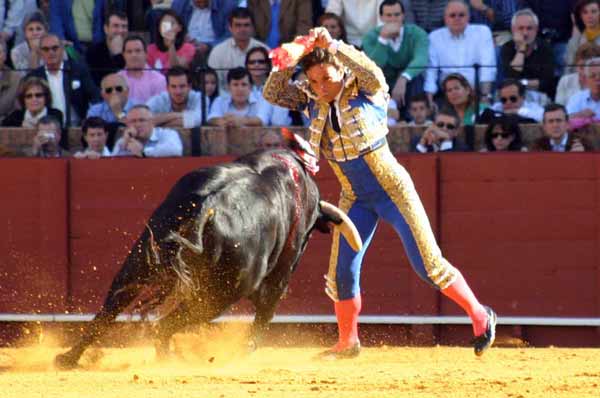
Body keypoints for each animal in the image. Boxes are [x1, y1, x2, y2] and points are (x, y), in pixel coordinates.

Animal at [54, 134, 360, 370]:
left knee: (111, 307)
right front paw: (244, 352)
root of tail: (208, 204)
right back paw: (174, 359)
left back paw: (68, 358)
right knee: (164, 324)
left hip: (141, 258)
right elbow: (264, 315)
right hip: (219, 295)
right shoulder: (278, 278)